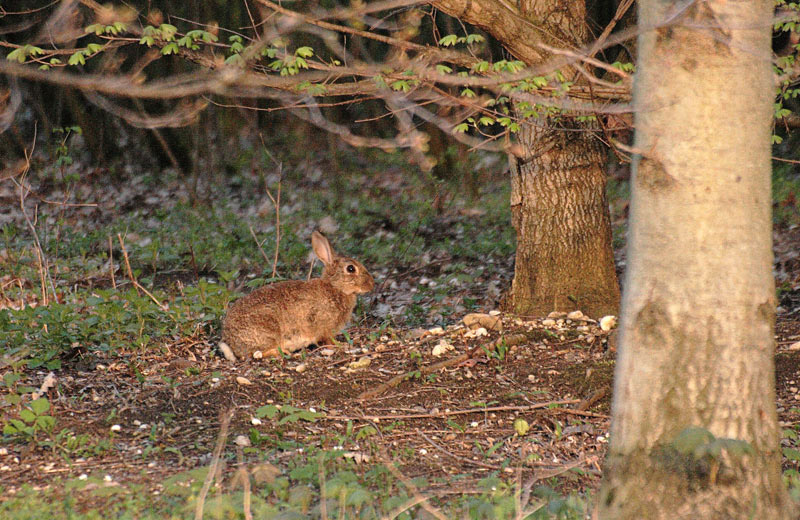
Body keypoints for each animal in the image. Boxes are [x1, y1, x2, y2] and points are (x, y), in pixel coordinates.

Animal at [218, 231, 374, 361]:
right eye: (350, 268)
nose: (371, 284)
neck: (335, 287)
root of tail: (231, 342)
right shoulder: (324, 326)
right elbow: (327, 340)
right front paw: (340, 345)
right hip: (268, 330)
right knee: (257, 353)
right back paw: (281, 352)